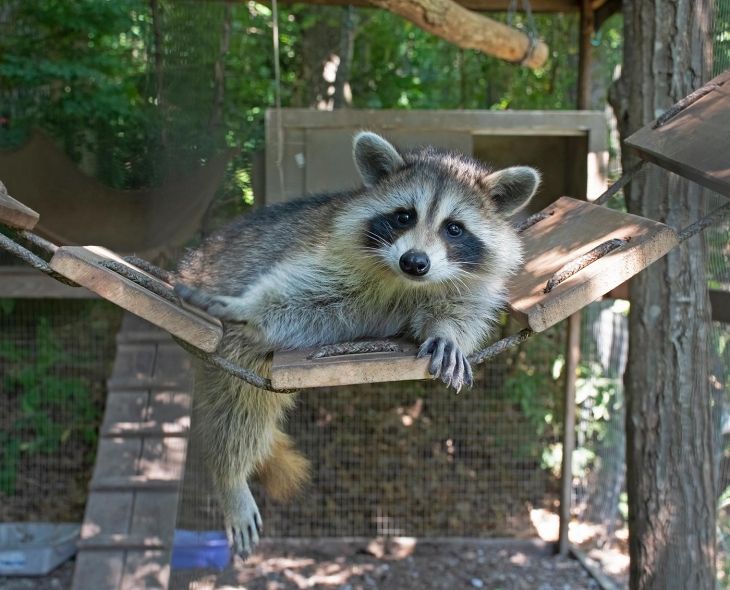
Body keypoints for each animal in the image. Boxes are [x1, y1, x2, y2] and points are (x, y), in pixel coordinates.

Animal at [175, 132, 539, 556]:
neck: (408, 283)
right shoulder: (336, 256)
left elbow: (460, 311)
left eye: (454, 228)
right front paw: (249, 308)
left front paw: (447, 335)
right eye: (404, 216)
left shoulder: (470, 283)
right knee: (236, 405)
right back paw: (230, 477)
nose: (415, 262)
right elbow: (302, 296)